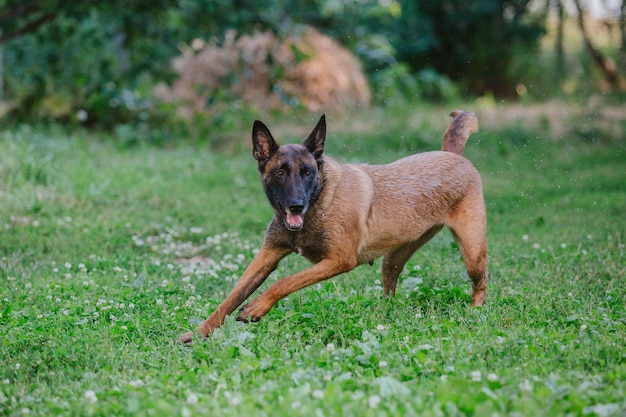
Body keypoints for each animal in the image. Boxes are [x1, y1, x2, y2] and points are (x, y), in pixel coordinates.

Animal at [178, 109, 486, 342]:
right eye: (280, 172)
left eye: (307, 173)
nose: (296, 205)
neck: (319, 203)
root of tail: (454, 155)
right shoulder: (267, 256)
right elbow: (229, 299)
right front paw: (196, 335)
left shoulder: (339, 260)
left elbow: (284, 282)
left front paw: (257, 307)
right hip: (394, 257)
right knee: (390, 288)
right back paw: (380, 314)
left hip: (472, 252)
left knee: (480, 283)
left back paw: (475, 312)